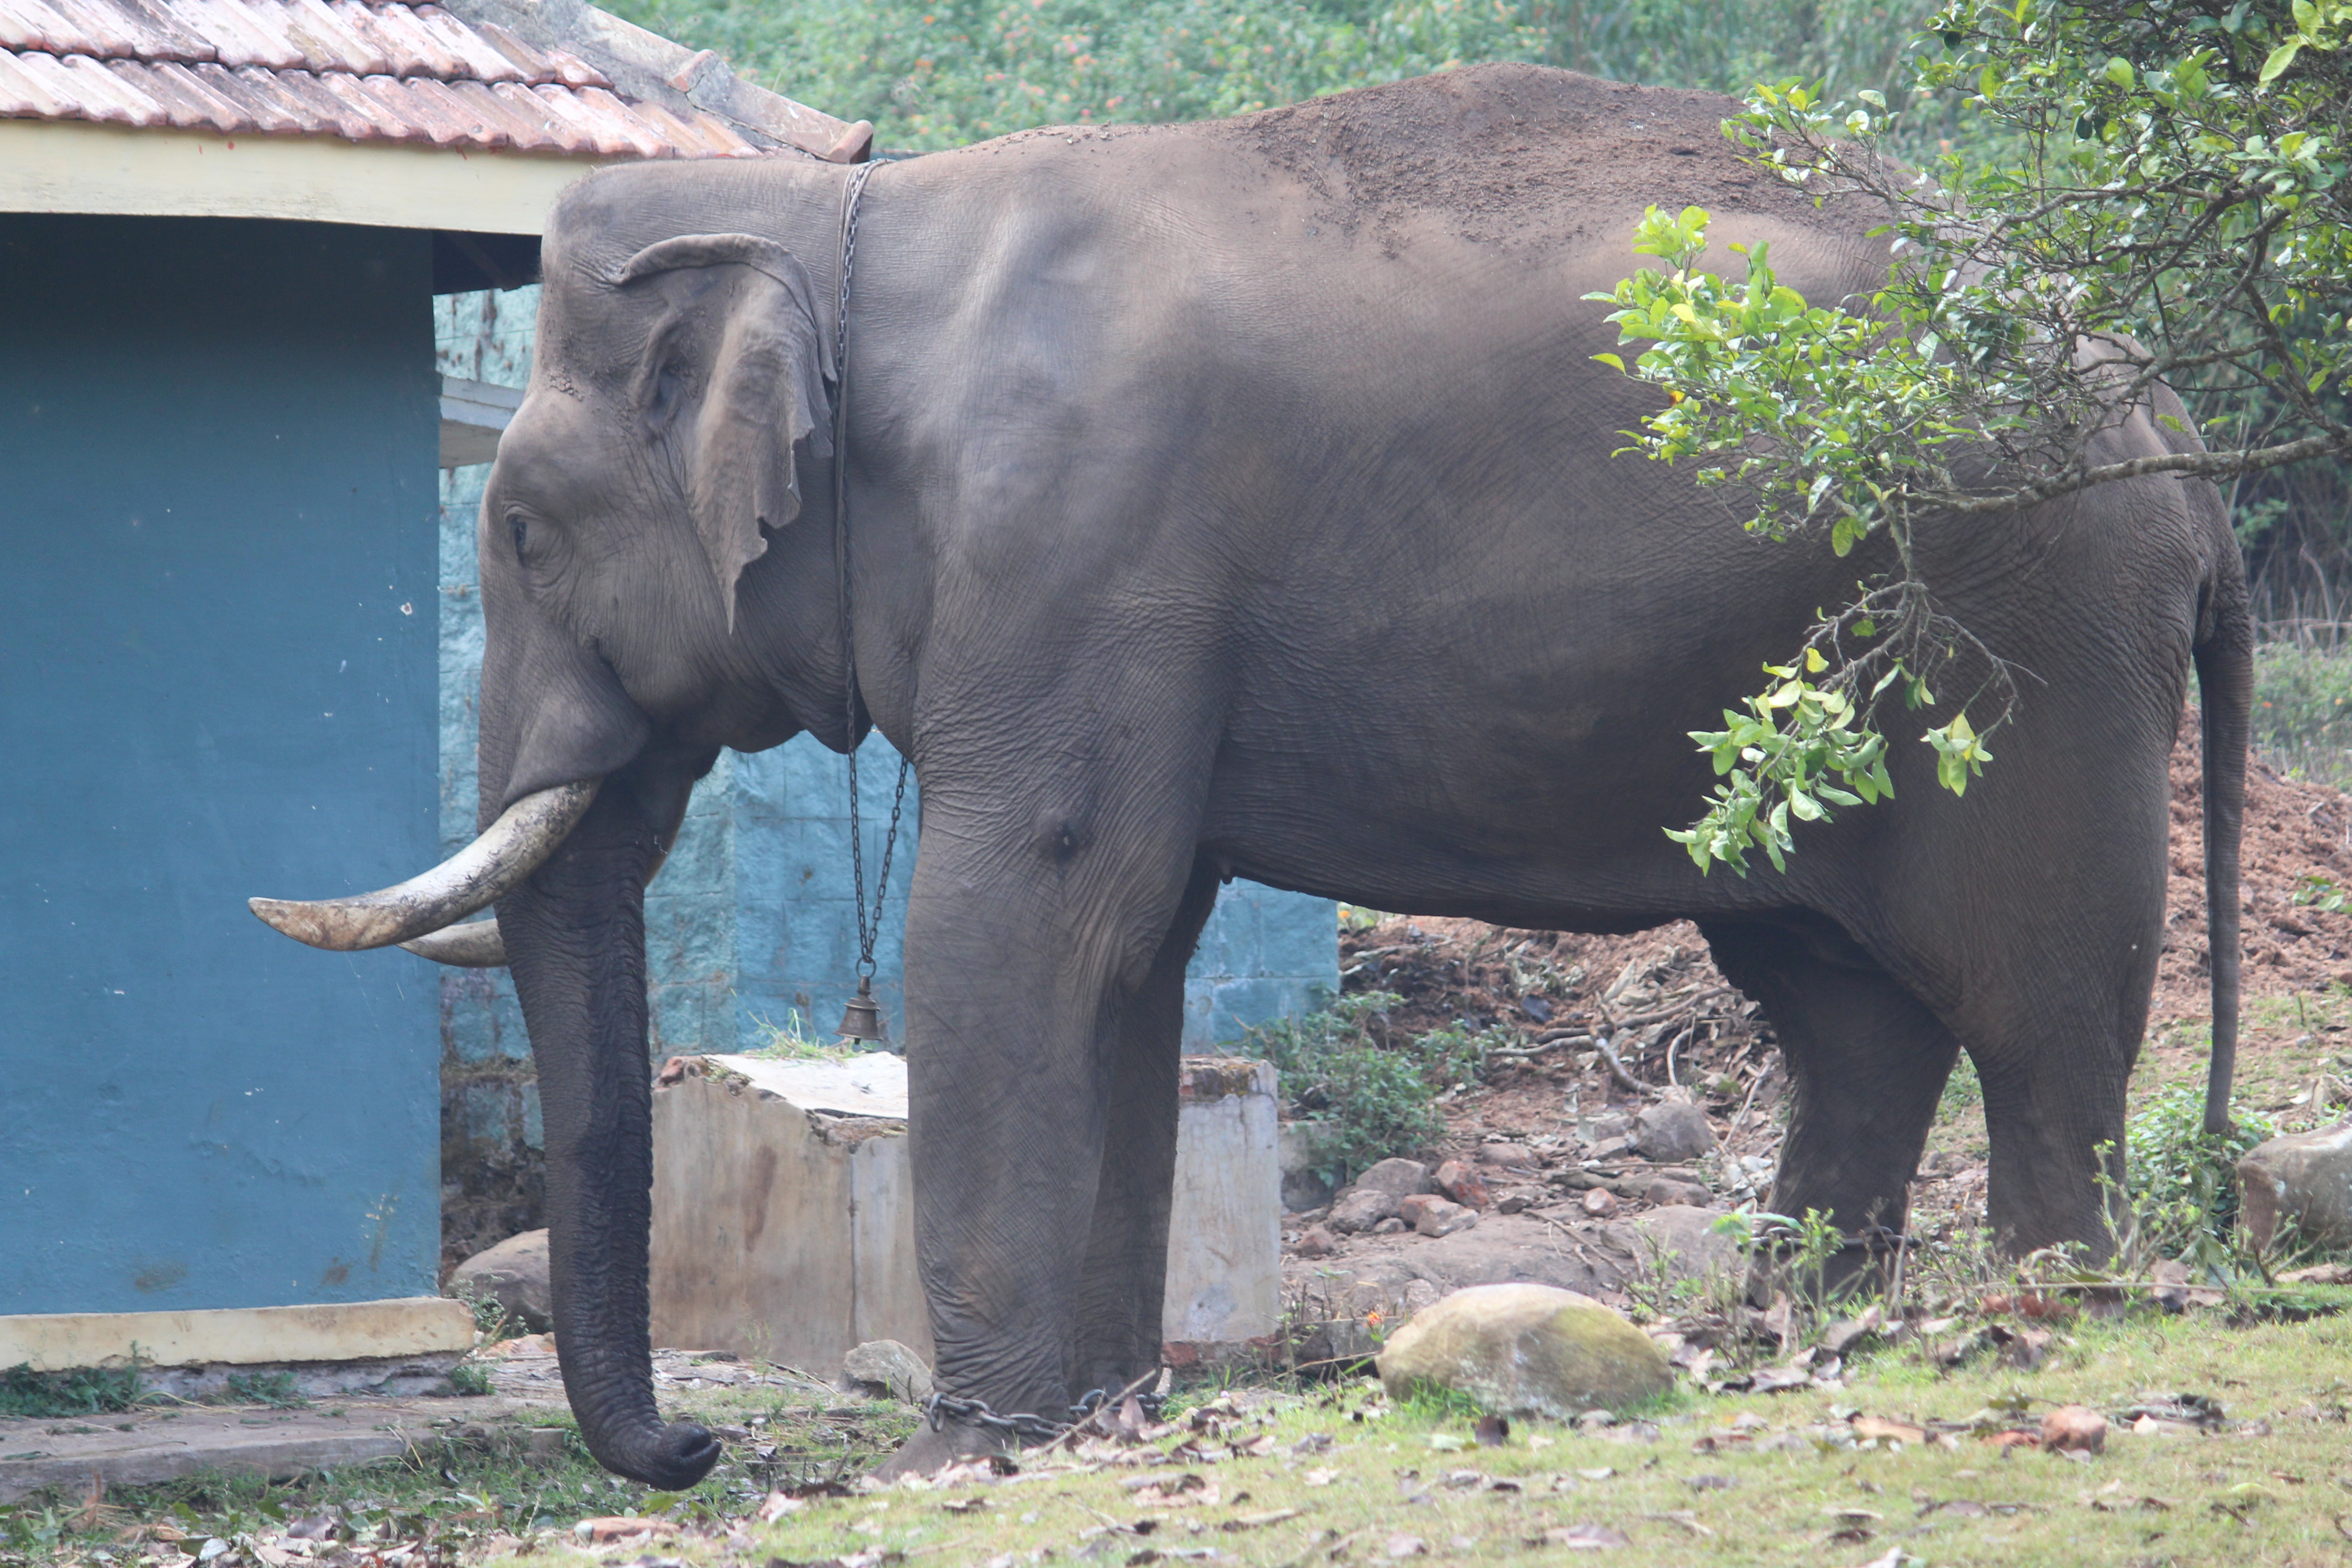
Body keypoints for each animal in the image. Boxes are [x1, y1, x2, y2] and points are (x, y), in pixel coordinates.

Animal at [251, 62, 2249, 1487]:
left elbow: (1022, 920)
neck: (853, 220)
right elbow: (1129, 961)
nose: (701, 1442)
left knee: (2037, 1004)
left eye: (518, 525)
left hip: (2032, 645)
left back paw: (2047, 1303)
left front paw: (954, 1455)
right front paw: (1097, 1418)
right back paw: (1797, 1327)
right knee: (1845, 1004)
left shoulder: (1076, 546)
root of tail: (2175, 427)